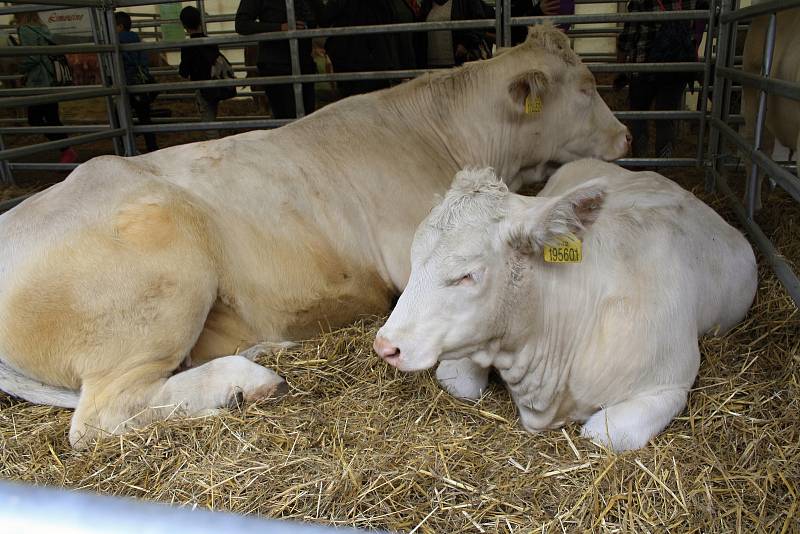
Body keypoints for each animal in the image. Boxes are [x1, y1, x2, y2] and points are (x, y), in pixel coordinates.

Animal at [0, 26, 632, 452]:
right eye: (586, 86)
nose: (627, 135)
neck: (441, 136)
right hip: (165, 276)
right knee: (100, 417)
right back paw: (246, 382)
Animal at [376, 160, 756, 452]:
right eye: (413, 257)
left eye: (467, 275)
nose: (386, 345)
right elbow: (460, 383)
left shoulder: (669, 383)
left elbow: (600, 433)